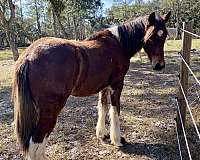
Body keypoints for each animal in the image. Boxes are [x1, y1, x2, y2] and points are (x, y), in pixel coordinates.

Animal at [12, 10, 171, 159]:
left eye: (164, 36)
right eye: (151, 36)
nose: (159, 65)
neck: (119, 43)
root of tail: (28, 56)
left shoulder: (104, 87)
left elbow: (103, 108)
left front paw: (103, 134)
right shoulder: (117, 85)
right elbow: (115, 111)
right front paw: (117, 139)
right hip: (50, 111)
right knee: (36, 142)